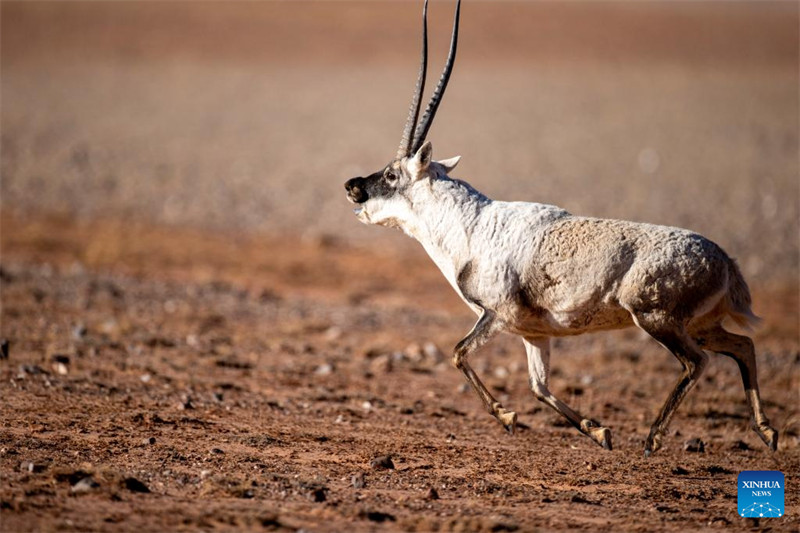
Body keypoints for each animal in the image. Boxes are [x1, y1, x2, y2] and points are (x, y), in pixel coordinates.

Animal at [342, 2, 776, 456]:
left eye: (392, 175)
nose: (353, 186)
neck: (471, 225)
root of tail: (726, 261)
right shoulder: (531, 333)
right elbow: (539, 387)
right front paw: (598, 431)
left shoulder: (496, 315)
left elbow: (459, 353)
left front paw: (508, 417)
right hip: (698, 325)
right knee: (742, 346)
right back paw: (766, 432)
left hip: (657, 318)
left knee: (698, 362)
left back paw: (654, 438)